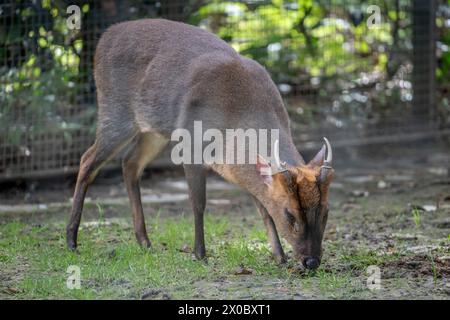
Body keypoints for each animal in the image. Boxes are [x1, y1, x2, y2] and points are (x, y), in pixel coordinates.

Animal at [67, 18, 334, 270]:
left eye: (325, 212)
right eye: (290, 214)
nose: (311, 261)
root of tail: (104, 37)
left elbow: (263, 208)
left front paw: (279, 256)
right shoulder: (191, 145)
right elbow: (199, 203)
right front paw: (200, 254)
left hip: (154, 129)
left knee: (130, 162)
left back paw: (144, 241)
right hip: (116, 111)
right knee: (87, 159)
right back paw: (72, 240)